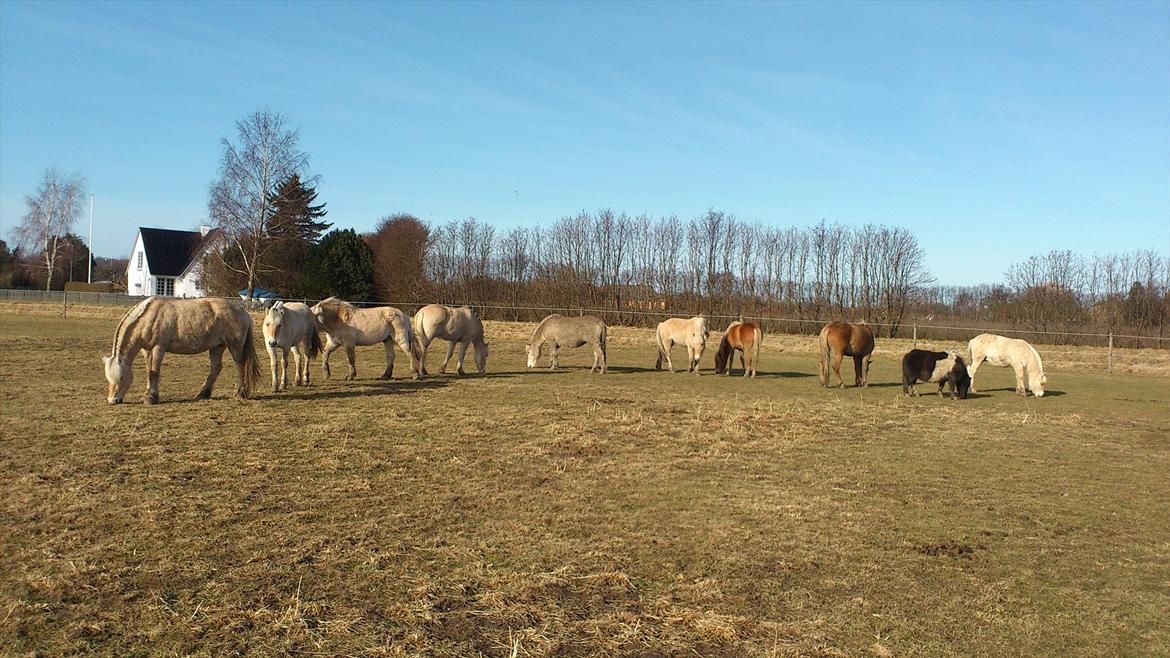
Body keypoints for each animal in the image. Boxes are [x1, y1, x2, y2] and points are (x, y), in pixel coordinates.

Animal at [102, 295, 260, 402]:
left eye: (121, 377)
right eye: (108, 377)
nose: (113, 400)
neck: (149, 316)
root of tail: (244, 312)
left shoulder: (159, 347)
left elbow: (155, 371)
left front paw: (152, 397)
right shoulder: (146, 350)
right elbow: (149, 370)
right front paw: (147, 393)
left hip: (234, 345)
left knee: (239, 365)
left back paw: (240, 393)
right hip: (217, 347)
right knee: (216, 368)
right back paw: (202, 394)